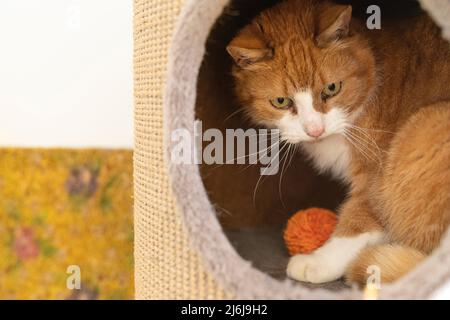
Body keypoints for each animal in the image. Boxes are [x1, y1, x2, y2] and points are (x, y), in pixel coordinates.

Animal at [229, 0, 450, 284]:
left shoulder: (376, 175)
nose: (315, 130)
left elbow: (358, 221)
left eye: (332, 88)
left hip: (425, 126)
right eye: (281, 101)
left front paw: (318, 262)